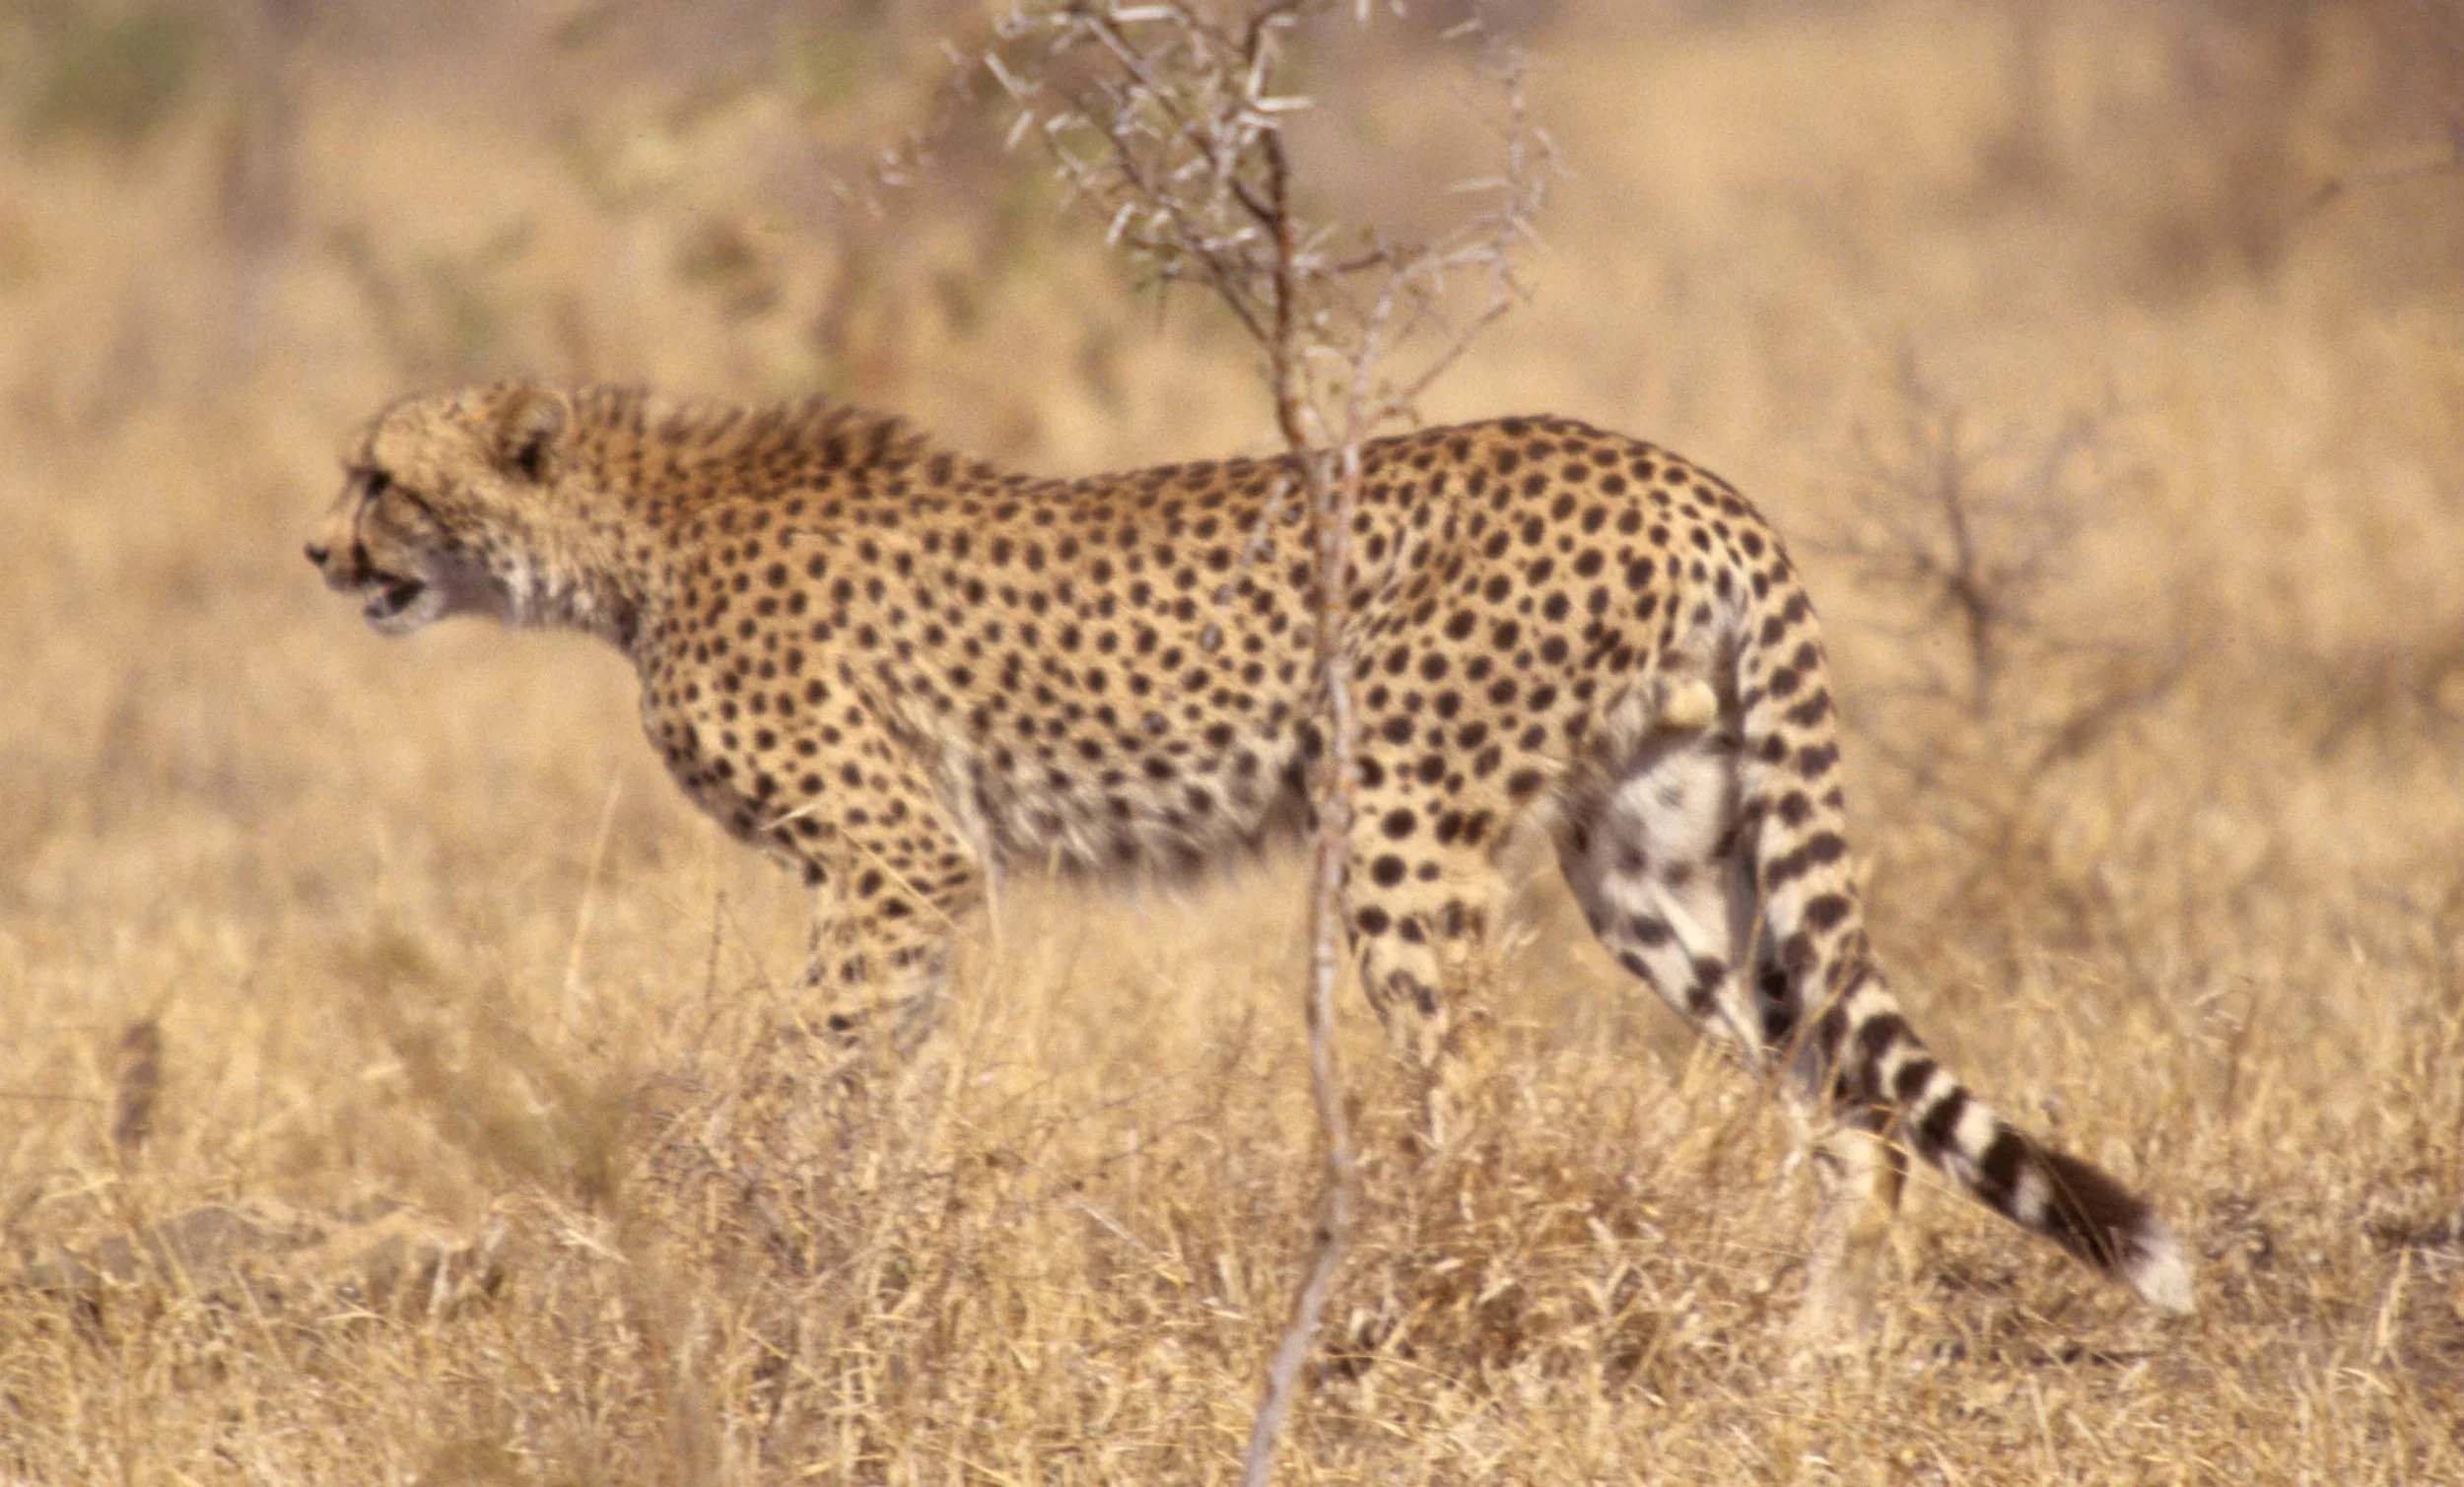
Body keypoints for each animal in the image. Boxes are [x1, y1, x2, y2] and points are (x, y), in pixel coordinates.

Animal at [306, 380, 2194, 1334]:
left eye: (377, 473)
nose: (319, 552)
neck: (628, 539)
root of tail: (1682, 473)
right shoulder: (913, 881)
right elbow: (882, 1082)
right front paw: (849, 1240)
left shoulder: (898, 856)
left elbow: (807, 1071)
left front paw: (738, 1234)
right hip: (1650, 858)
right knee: (1845, 1108)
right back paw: (1812, 1362)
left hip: (1405, 822)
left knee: (1479, 1080)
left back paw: (1432, 1277)